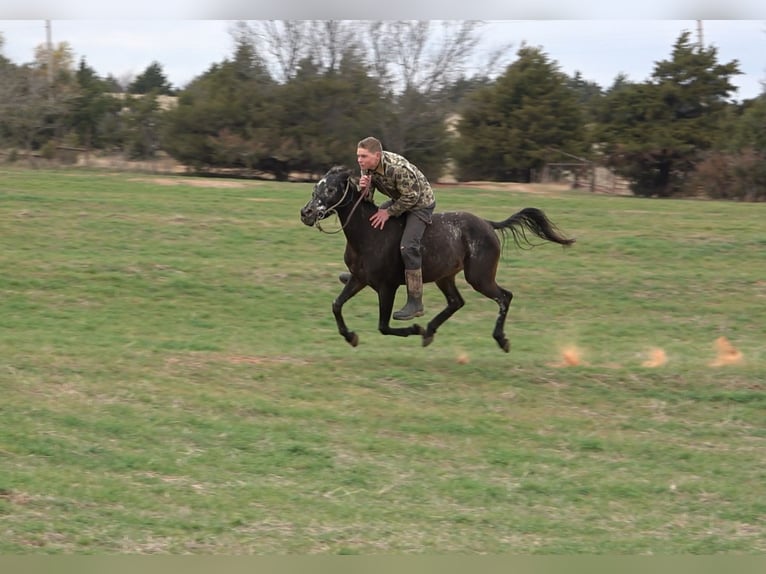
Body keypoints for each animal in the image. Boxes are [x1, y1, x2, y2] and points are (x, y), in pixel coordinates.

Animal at [302, 166, 576, 354]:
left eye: (330, 189)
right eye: (316, 187)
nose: (306, 213)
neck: (370, 233)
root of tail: (487, 224)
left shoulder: (386, 287)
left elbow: (384, 325)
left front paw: (415, 328)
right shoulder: (358, 279)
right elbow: (337, 305)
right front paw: (350, 336)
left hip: (479, 277)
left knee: (504, 297)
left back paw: (501, 339)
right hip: (446, 277)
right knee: (457, 302)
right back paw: (431, 332)